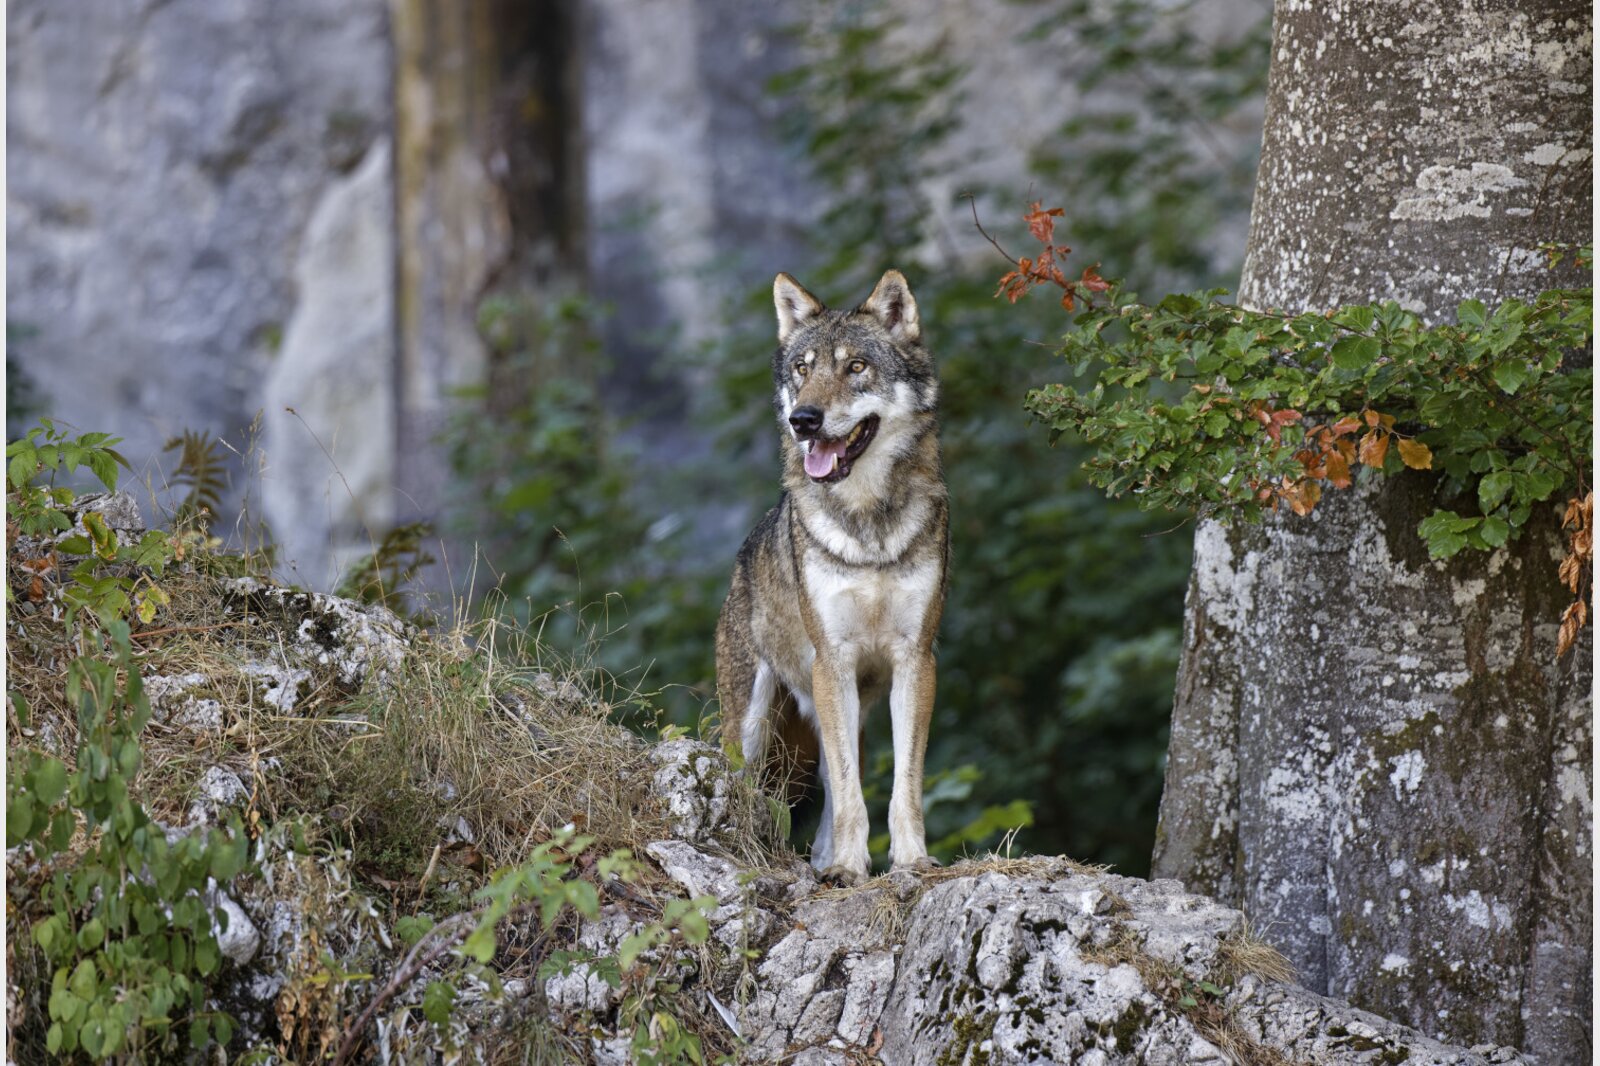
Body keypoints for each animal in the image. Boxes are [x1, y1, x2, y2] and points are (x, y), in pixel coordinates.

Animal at [716, 270, 947, 883]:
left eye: (856, 367)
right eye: (803, 369)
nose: (805, 420)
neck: (867, 527)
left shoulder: (916, 661)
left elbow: (902, 784)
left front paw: (909, 861)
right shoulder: (831, 661)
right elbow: (847, 789)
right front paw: (848, 867)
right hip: (753, 722)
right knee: (746, 784)